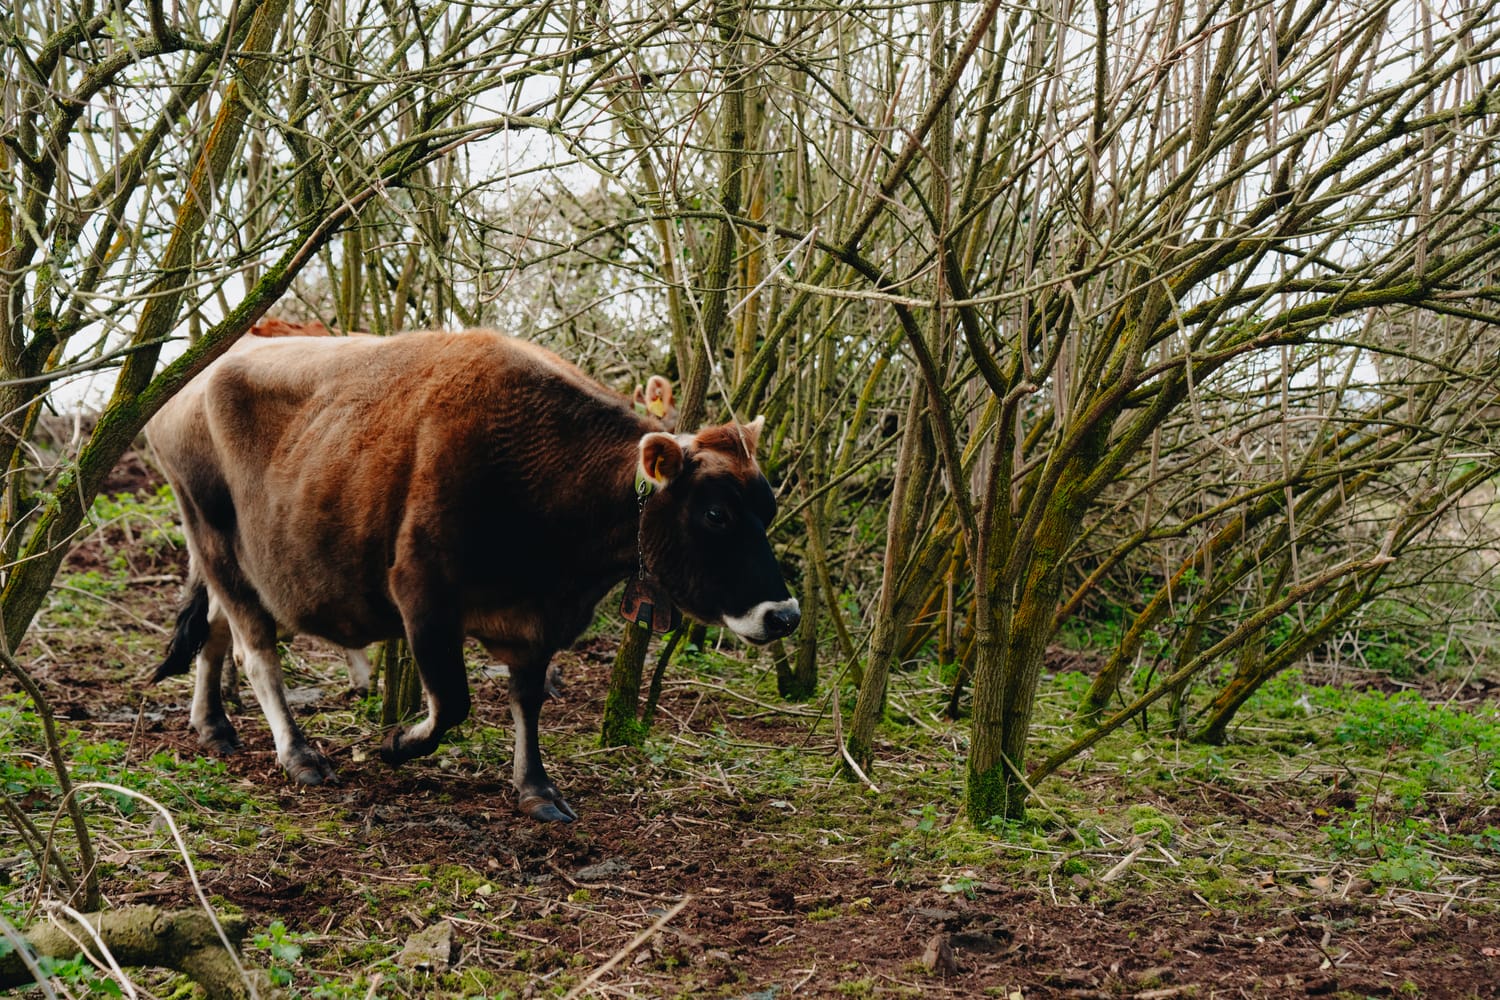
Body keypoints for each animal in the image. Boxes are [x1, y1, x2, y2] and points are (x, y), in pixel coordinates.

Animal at [145, 328, 799, 822]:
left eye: (767, 508)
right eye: (715, 514)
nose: (785, 615)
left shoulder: (538, 621)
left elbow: (526, 700)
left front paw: (536, 789)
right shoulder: (421, 590)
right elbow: (453, 703)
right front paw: (398, 743)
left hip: (234, 558)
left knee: (213, 627)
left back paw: (213, 725)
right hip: (212, 533)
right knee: (255, 650)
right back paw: (298, 753)